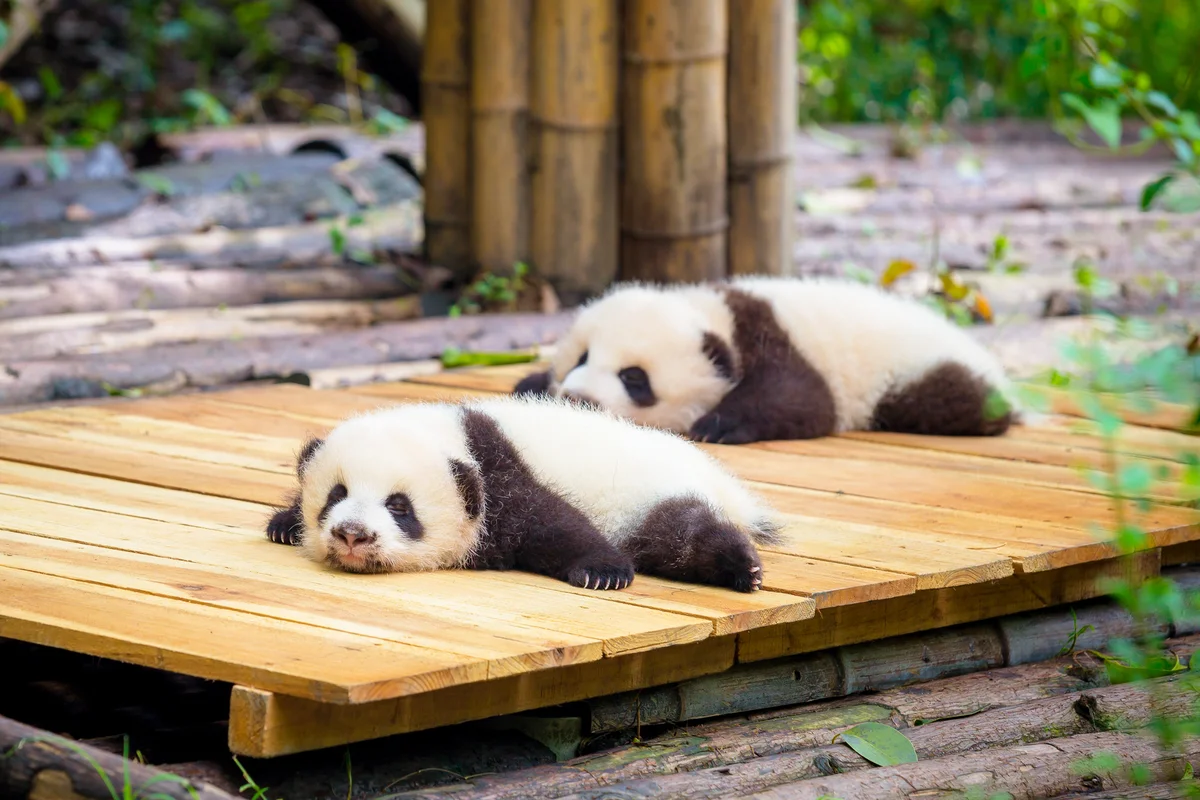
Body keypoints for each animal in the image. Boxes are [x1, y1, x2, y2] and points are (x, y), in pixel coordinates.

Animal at [265, 395, 781, 593]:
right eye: (336, 495)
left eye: (399, 506)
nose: (353, 534)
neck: (451, 434)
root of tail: (719, 479)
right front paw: (284, 525)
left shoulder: (502, 477)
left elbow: (556, 524)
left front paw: (603, 572)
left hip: (654, 493)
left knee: (682, 534)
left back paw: (743, 567)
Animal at [513, 275, 1022, 444]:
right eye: (581, 356)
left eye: (634, 378)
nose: (578, 397)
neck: (715, 313)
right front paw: (531, 385)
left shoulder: (776, 343)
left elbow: (804, 399)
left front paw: (719, 425)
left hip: (919, 373)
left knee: (950, 400)